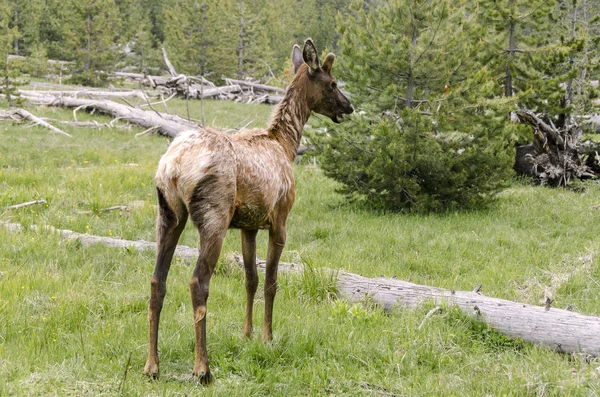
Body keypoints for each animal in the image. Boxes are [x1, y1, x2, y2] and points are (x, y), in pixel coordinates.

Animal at [144, 38, 354, 382]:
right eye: (333, 82)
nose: (348, 106)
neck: (286, 146)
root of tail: (173, 167)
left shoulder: (248, 225)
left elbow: (250, 279)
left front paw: (247, 333)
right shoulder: (279, 218)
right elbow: (270, 281)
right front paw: (268, 337)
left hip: (167, 214)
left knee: (156, 281)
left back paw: (152, 365)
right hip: (213, 215)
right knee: (198, 283)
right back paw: (203, 369)